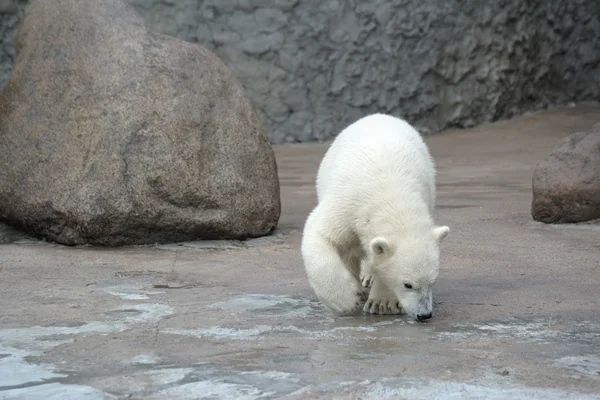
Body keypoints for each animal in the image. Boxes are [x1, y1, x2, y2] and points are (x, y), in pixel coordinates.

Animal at [300, 112, 450, 322]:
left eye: (432, 282)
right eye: (408, 284)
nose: (424, 315)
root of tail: (379, 115)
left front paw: (383, 303)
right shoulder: (346, 204)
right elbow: (321, 234)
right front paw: (346, 299)